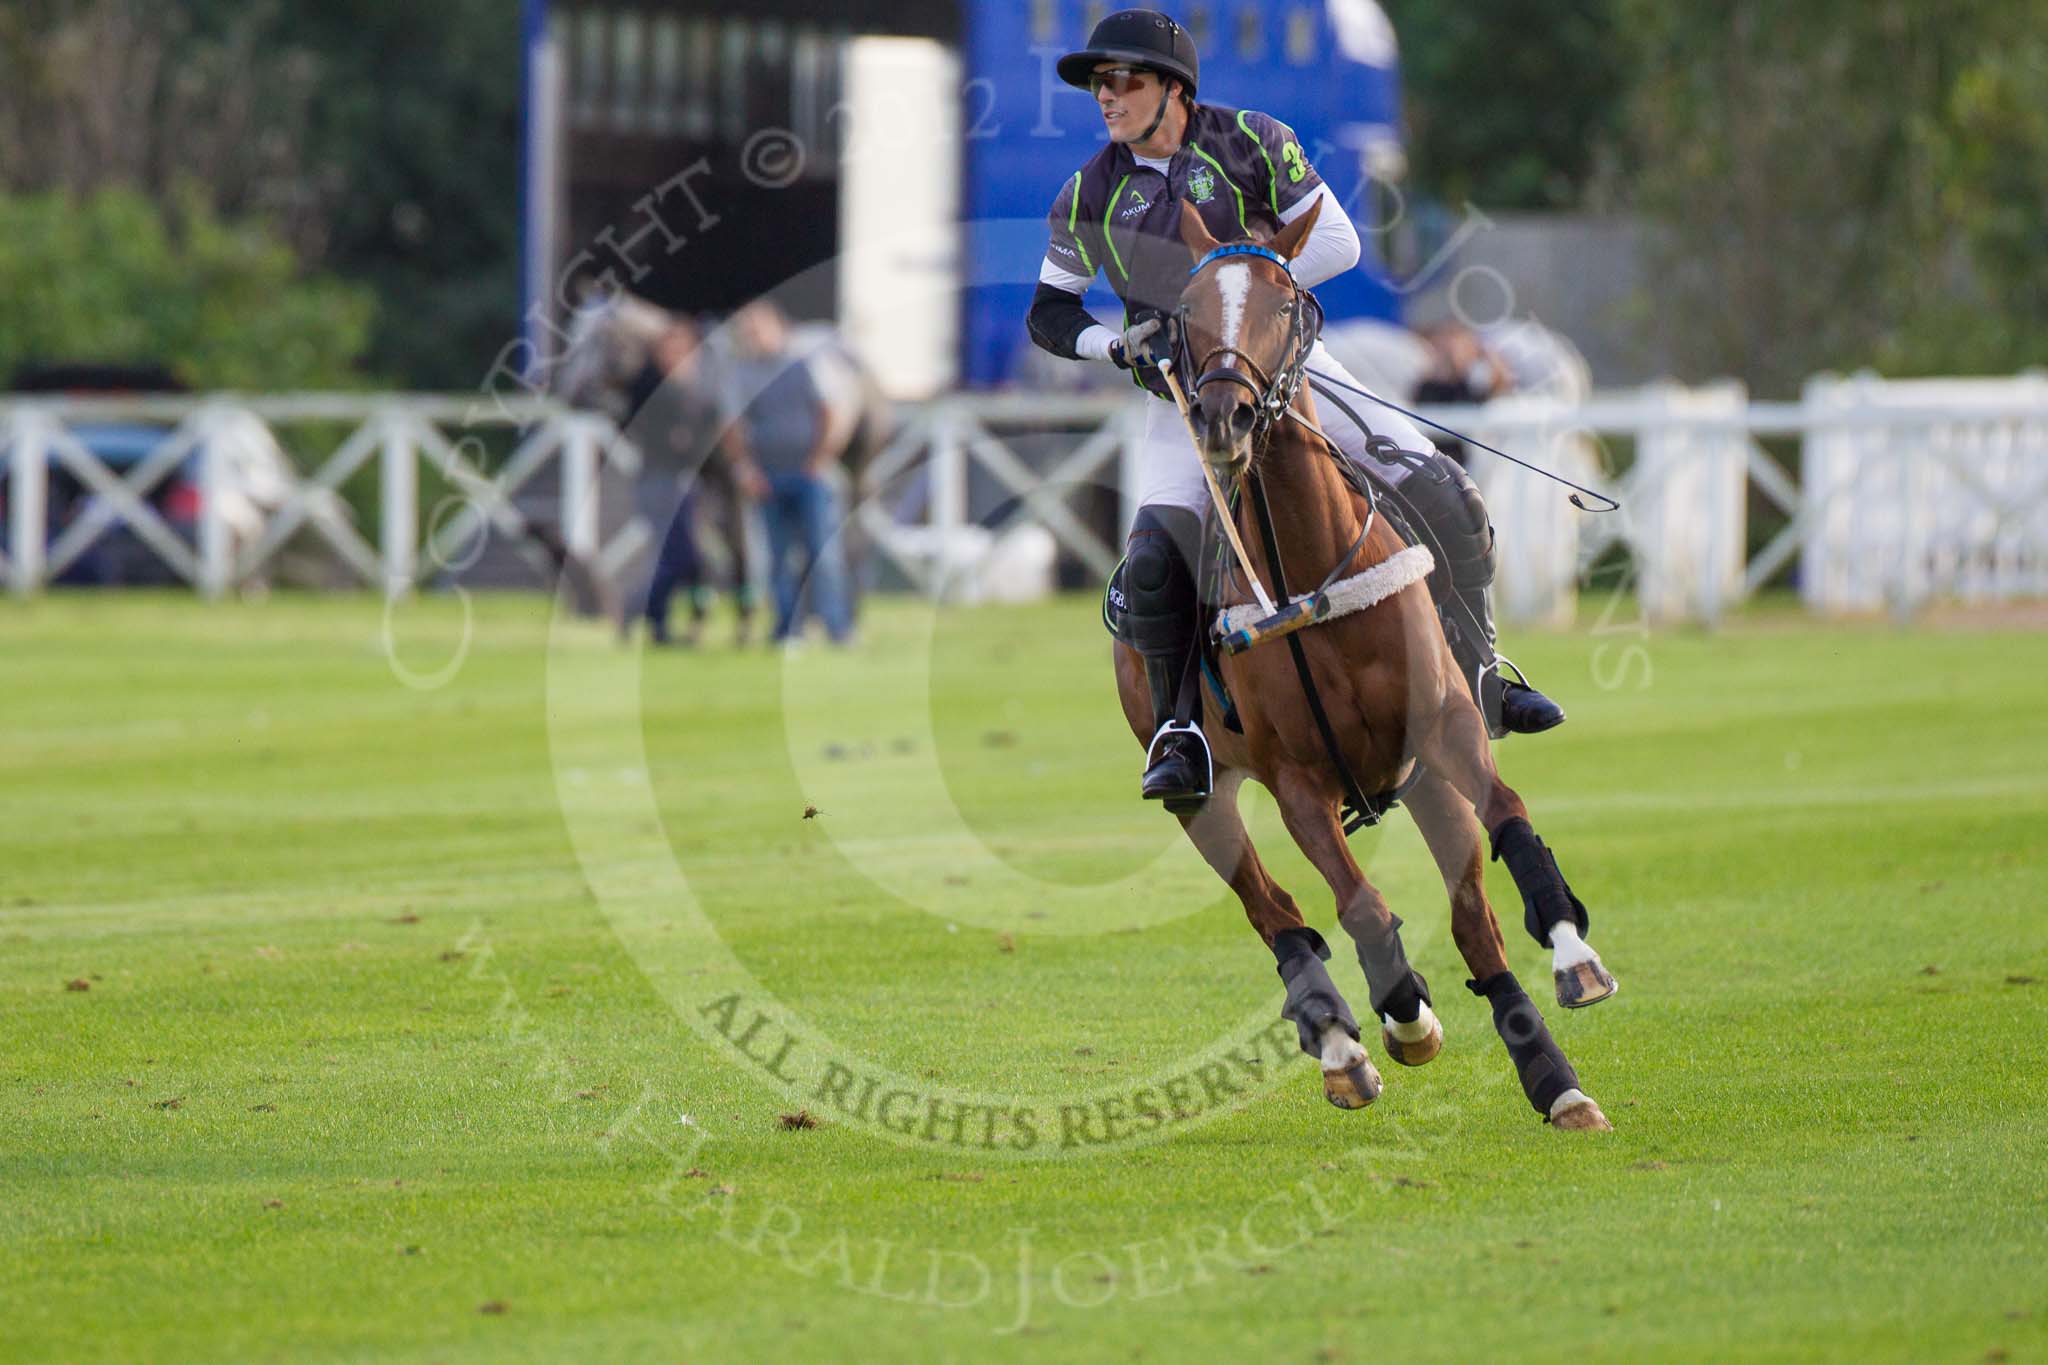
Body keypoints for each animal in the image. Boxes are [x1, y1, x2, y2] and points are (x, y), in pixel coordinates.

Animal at [1114, 200, 1622, 1129]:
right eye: (1185, 311)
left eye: (1284, 303)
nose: (1222, 420)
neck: (1314, 570)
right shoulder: (1297, 783)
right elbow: (1360, 906)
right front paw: (1400, 1013)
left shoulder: (1447, 724)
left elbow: (1508, 823)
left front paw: (1573, 954)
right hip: (1201, 796)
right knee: (1273, 909)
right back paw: (1343, 1043)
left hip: (1420, 778)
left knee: (1472, 920)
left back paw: (1555, 1079)